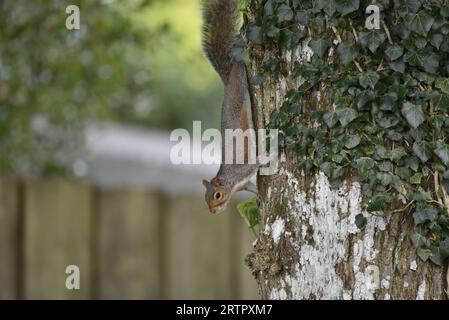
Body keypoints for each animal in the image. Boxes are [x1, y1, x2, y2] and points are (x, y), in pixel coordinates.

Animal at [201, 1, 258, 215]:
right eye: (205, 198)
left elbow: (258, 162)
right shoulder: (244, 183)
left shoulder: (244, 170)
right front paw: (260, 197)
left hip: (239, 84)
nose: (212, 211)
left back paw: (243, 37)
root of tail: (227, 83)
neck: (230, 182)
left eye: (217, 195)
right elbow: (253, 188)